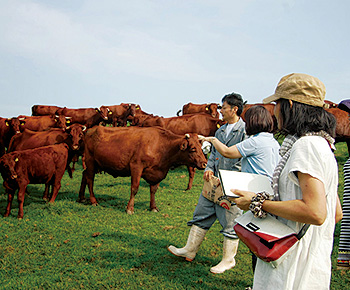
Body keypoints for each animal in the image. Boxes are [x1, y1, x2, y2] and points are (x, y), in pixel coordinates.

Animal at [78, 125, 208, 214]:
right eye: (192, 149)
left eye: (201, 147)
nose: (204, 163)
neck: (161, 146)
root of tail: (90, 129)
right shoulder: (136, 166)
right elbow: (134, 188)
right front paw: (130, 209)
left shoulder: (157, 173)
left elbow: (153, 190)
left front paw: (153, 207)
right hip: (90, 161)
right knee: (90, 179)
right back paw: (93, 201)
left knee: (84, 175)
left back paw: (81, 198)